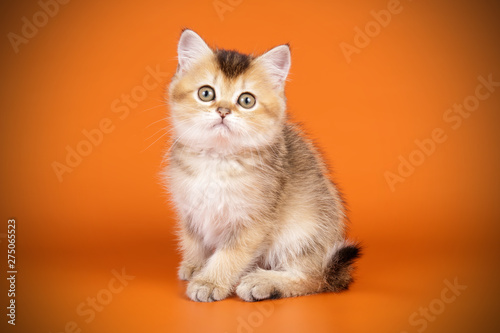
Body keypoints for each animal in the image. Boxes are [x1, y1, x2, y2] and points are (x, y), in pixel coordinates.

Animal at [166, 29, 362, 300]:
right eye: (206, 93)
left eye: (246, 100)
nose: (223, 111)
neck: (218, 159)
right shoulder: (190, 209)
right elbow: (193, 240)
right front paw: (195, 266)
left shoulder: (255, 221)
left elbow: (230, 255)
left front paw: (209, 282)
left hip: (305, 230)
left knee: (314, 277)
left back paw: (264, 282)